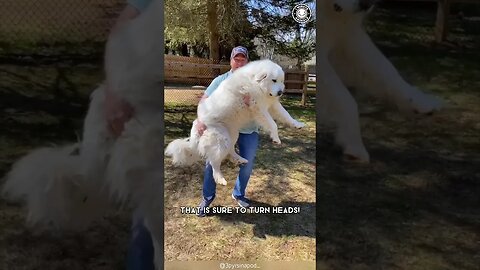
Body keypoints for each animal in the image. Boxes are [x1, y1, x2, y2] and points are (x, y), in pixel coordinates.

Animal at [167, 59, 306, 186]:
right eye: (274, 80)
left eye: (281, 81)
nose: (280, 92)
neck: (255, 83)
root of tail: (198, 125)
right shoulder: (258, 108)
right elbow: (273, 124)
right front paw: (276, 138)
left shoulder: (272, 104)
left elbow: (286, 115)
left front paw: (297, 124)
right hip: (221, 140)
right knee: (214, 163)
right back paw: (220, 178)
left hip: (232, 135)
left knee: (230, 151)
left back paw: (240, 159)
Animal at [316, 0, 444, 162]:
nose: (367, 3)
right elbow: (345, 99)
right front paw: (354, 143)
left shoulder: (349, 36)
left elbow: (388, 72)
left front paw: (421, 102)